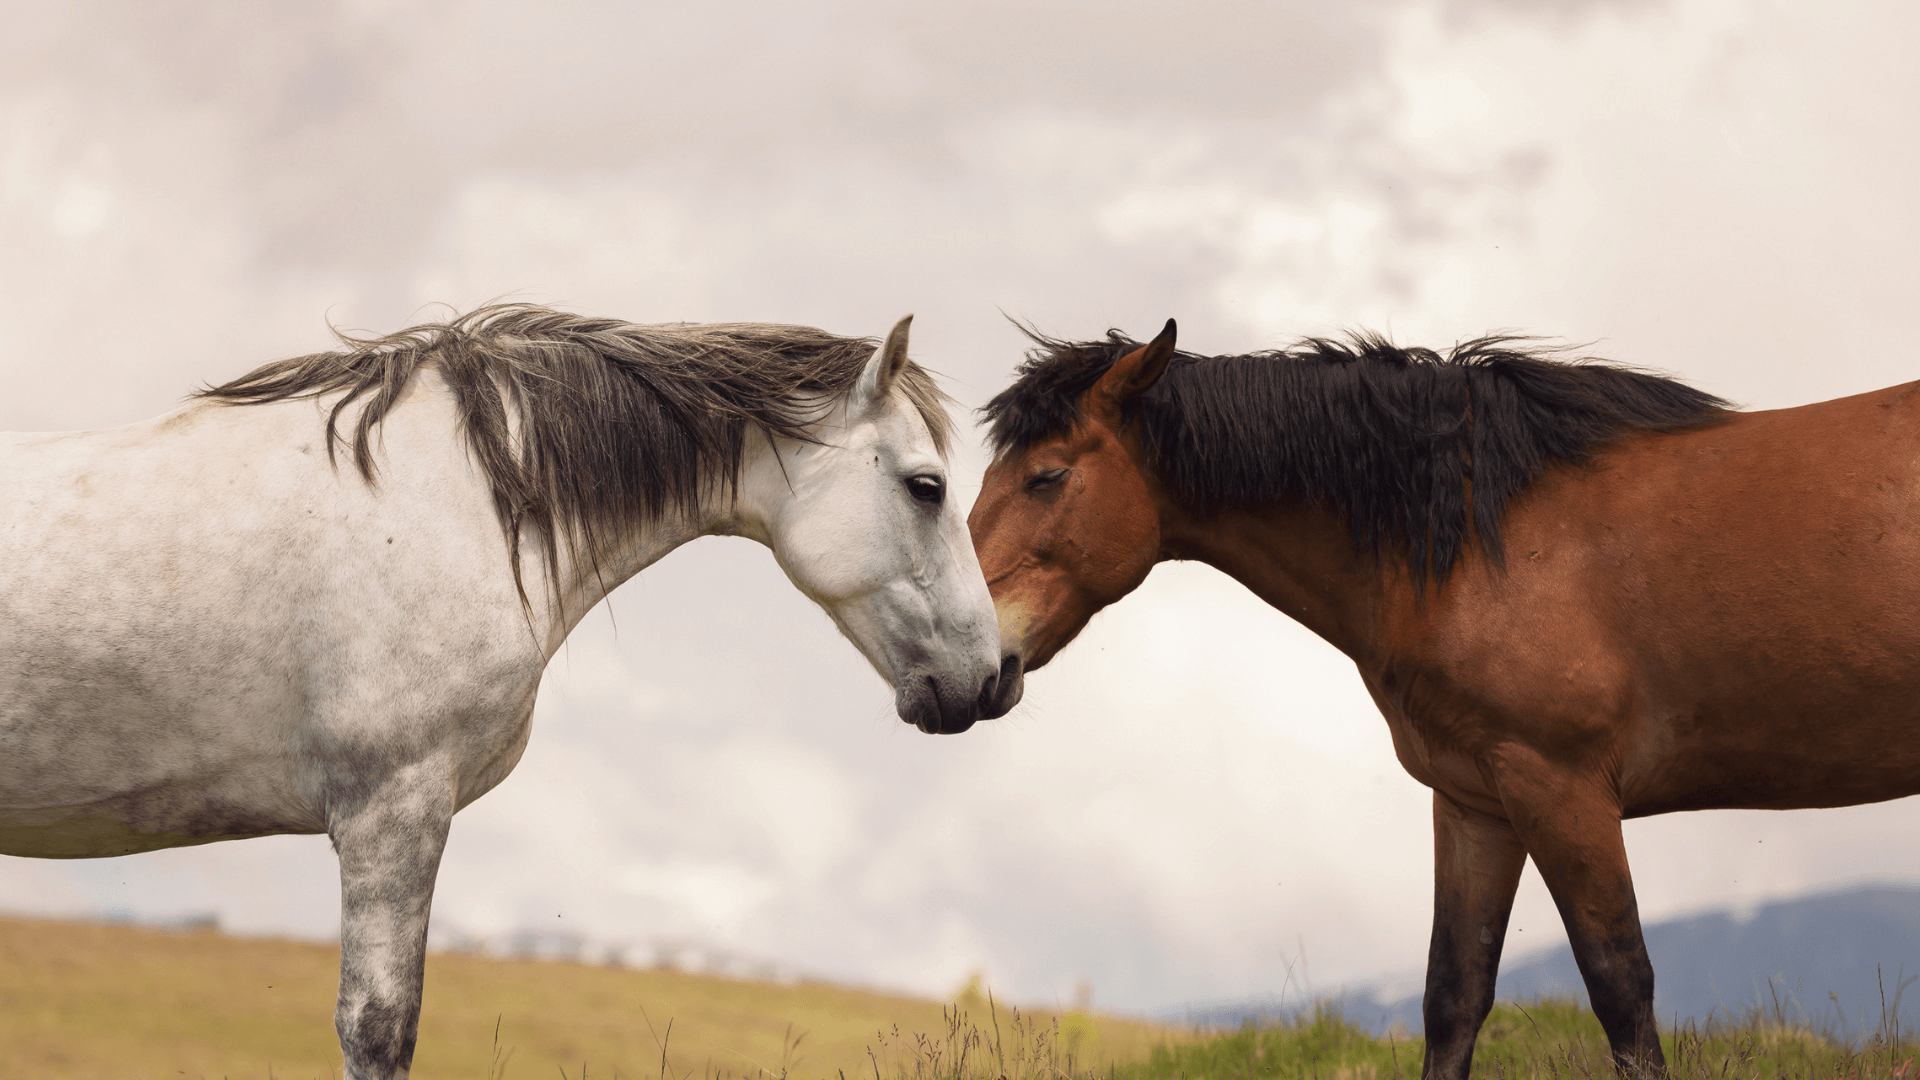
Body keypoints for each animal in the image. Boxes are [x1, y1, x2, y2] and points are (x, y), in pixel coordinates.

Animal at [967, 319, 1920, 1076]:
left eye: (1047, 477)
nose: (966, 660)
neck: (1472, 539)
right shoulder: (1476, 803)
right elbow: (1453, 996)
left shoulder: (1562, 789)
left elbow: (1621, 987)